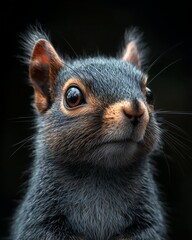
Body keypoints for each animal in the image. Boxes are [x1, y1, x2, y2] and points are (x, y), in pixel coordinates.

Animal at [10, 27, 166, 239]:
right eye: (72, 97)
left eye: (149, 94)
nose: (135, 109)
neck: (101, 173)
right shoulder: (38, 220)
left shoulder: (149, 221)